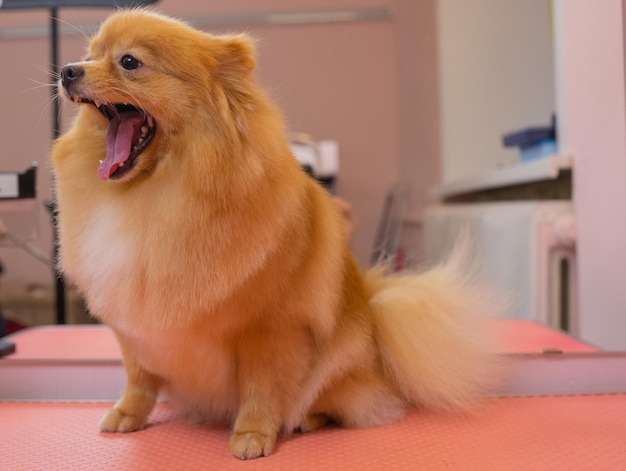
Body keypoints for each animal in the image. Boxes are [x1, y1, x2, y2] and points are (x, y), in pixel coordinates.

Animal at [52, 9, 502, 460]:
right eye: (89, 55)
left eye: (129, 62)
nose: (67, 70)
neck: (153, 195)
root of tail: (374, 313)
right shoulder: (132, 325)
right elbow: (139, 378)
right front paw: (127, 413)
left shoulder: (270, 329)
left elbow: (261, 390)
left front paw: (252, 434)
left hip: (339, 365)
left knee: (342, 403)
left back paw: (308, 419)